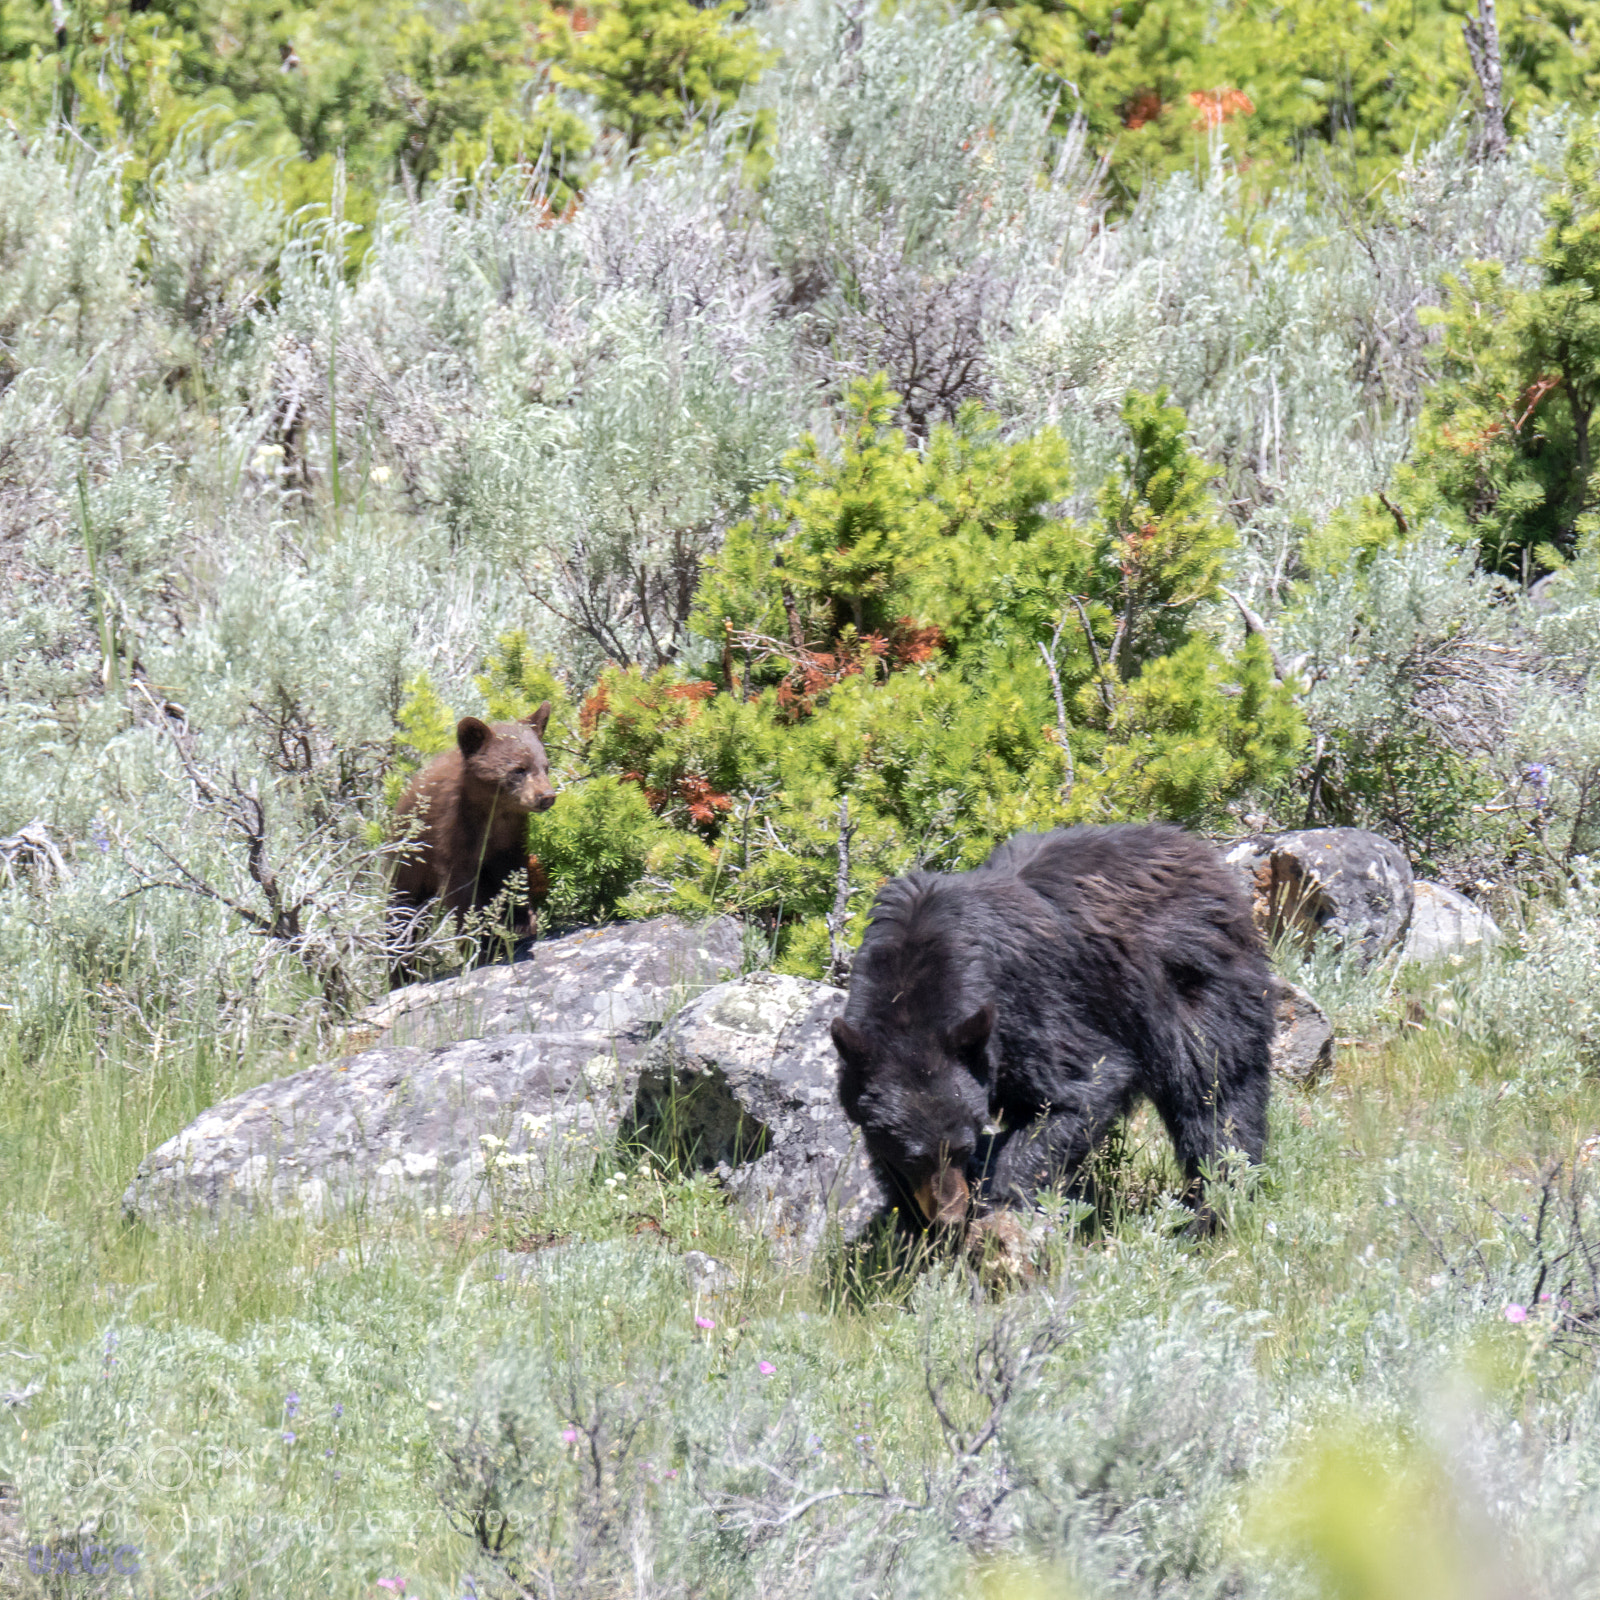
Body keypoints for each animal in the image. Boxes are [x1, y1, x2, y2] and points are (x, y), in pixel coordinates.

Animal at [387, 705, 557, 986]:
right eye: (518, 769)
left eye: (545, 766)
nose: (547, 797)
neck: (495, 813)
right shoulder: (452, 833)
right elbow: (463, 892)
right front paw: (479, 943)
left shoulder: (511, 837)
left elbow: (514, 874)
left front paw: (523, 923)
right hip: (406, 866)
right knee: (400, 915)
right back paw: (399, 969)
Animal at [829, 824, 1274, 1235]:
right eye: (914, 1156)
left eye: (963, 1145)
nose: (949, 1216)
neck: (912, 974)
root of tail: (1198, 851)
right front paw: (913, 1233)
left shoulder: (1026, 1008)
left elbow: (1083, 1088)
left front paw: (999, 1197)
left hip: (1195, 982)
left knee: (1215, 1093)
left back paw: (1211, 1210)